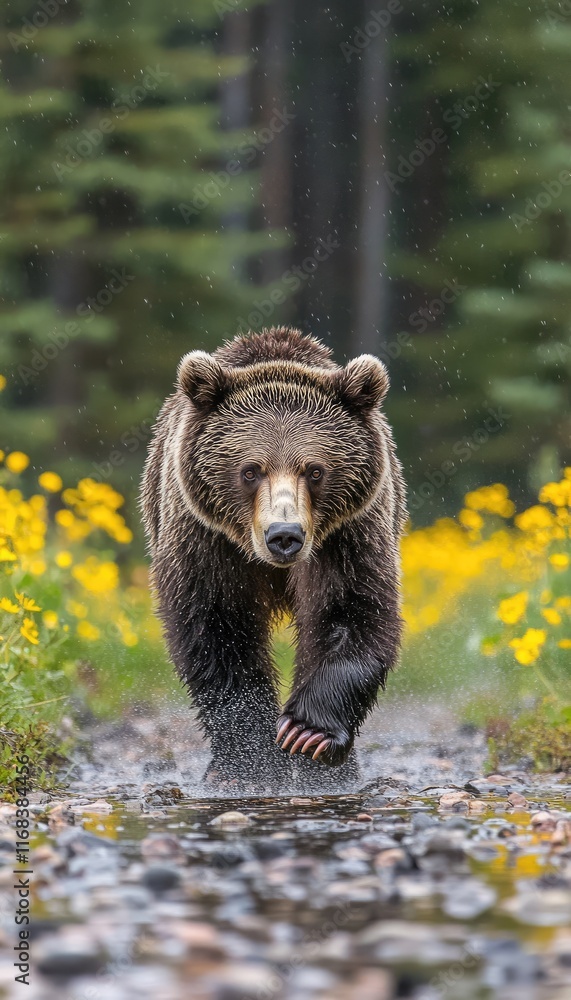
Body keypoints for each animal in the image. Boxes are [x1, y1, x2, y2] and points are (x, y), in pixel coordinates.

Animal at [141, 326, 406, 790]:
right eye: (251, 470)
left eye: (314, 470)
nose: (285, 536)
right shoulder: (205, 539)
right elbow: (217, 627)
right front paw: (251, 763)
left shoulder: (348, 535)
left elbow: (350, 613)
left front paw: (309, 735)